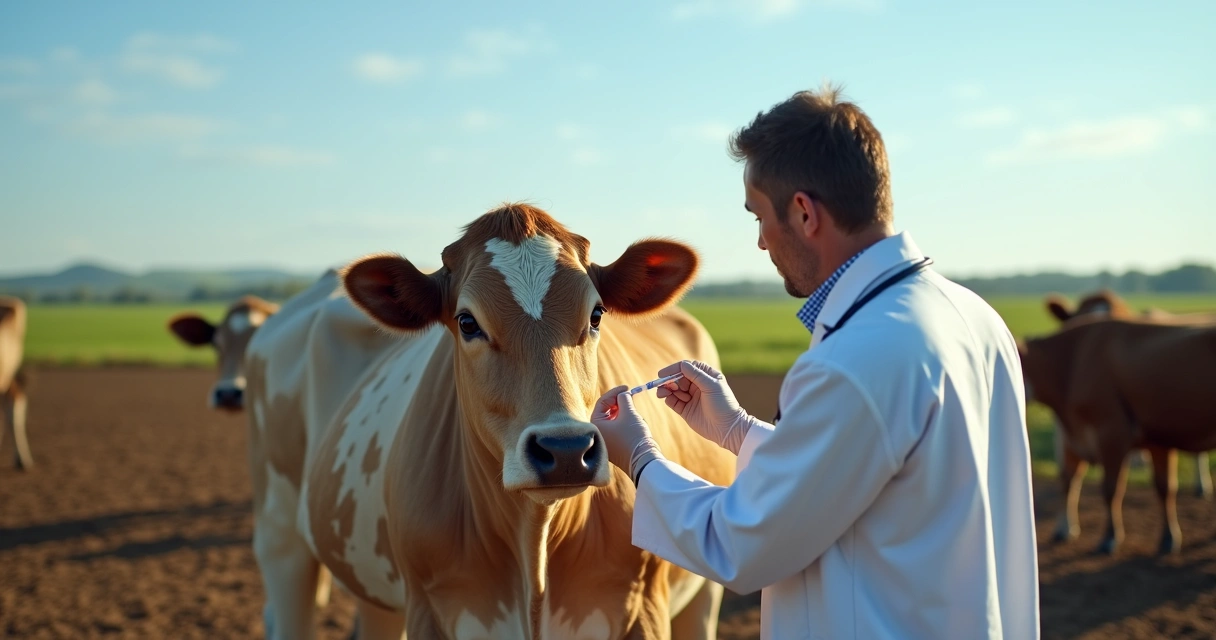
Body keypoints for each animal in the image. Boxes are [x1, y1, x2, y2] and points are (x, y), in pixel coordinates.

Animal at [245, 203, 737, 639]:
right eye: (467, 322)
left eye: (596, 315)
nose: (566, 450)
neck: (534, 552)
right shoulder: (429, 609)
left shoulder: (644, 608)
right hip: (279, 532)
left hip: (704, 592)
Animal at [1020, 317, 1216, 555]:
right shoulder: (1156, 441)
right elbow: (1165, 488)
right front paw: (1169, 538)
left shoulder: (1112, 433)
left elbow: (1111, 489)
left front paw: (1110, 537)